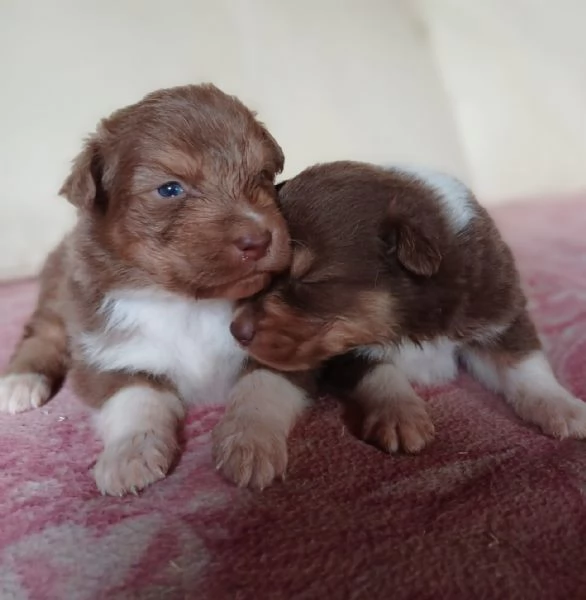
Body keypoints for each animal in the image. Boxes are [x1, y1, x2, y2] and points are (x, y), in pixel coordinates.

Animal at [0, 84, 302, 496]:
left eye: (262, 175)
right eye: (170, 189)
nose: (258, 239)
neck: (192, 305)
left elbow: (260, 388)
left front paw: (250, 444)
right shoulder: (107, 354)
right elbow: (136, 401)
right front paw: (128, 457)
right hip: (56, 293)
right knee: (42, 333)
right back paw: (20, 382)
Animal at [229, 162, 584, 458]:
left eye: (308, 280)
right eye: (266, 277)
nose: (235, 331)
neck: (411, 320)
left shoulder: (500, 313)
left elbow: (526, 364)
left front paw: (565, 408)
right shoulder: (345, 354)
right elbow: (379, 371)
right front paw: (400, 416)